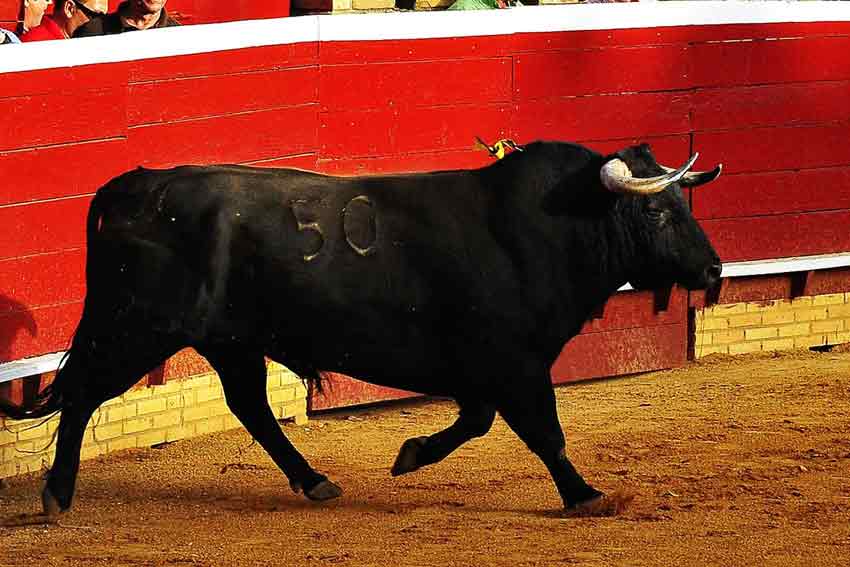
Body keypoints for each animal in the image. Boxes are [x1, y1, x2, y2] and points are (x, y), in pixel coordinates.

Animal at [1, 141, 724, 516]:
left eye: (685, 203)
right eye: (657, 212)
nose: (714, 268)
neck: (543, 226)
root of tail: (136, 184)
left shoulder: (489, 368)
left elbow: (478, 421)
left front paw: (411, 454)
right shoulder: (515, 362)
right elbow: (543, 430)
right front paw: (586, 494)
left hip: (228, 341)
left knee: (250, 405)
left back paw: (316, 480)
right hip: (138, 327)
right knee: (84, 395)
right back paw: (56, 495)